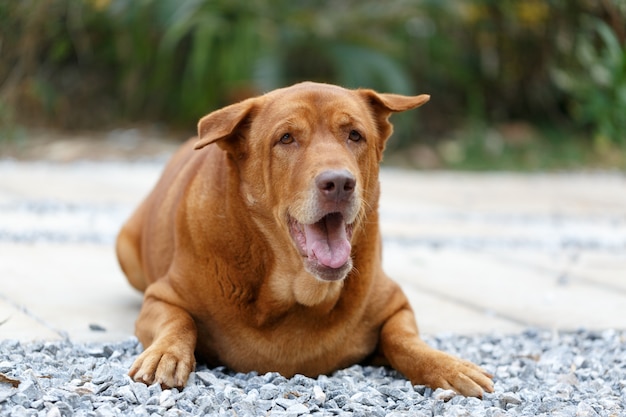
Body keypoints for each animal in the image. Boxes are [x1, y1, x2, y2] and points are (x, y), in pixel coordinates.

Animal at [116, 81, 492, 396]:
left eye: (355, 135)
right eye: (286, 138)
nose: (339, 183)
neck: (299, 295)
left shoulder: (395, 304)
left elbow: (403, 338)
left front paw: (446, 364)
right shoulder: (162, 297)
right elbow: (178, 321)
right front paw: (166, 354)